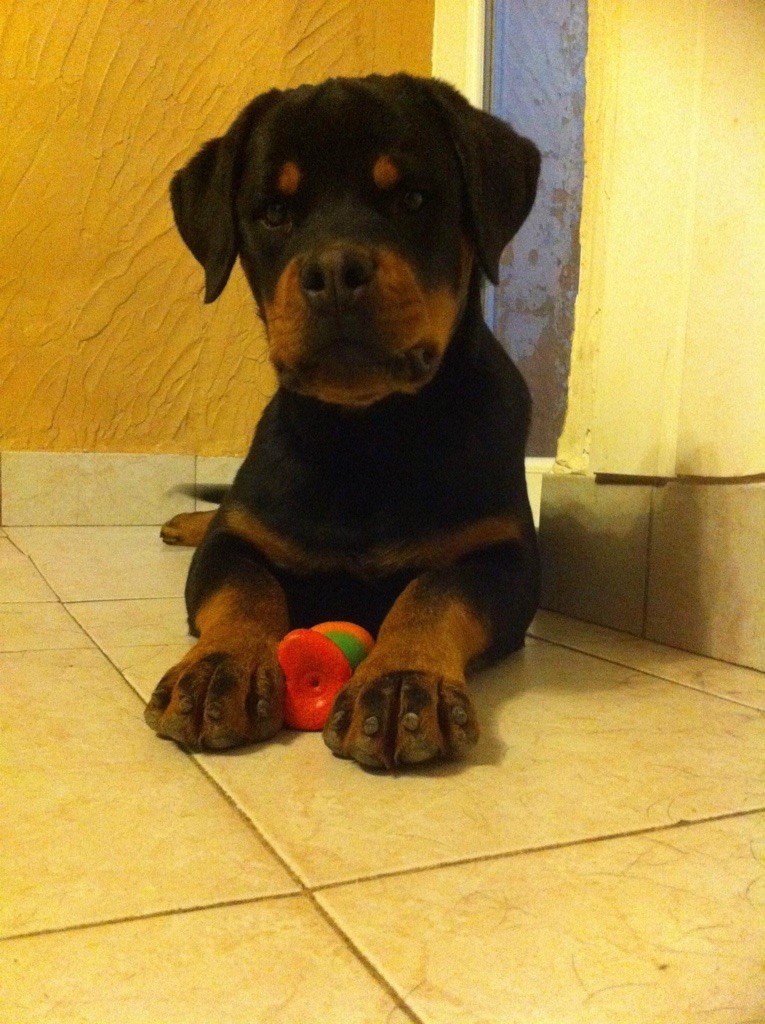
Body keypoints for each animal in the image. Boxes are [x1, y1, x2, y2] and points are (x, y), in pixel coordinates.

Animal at [146, 73, 541, 770]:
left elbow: (435, 591)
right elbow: (242, 588)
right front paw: (220, 669)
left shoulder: (506, 554)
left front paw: (405, 681)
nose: (334, 272)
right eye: (273, 212)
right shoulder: (238, 538)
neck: (365, 438)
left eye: (412, 198)